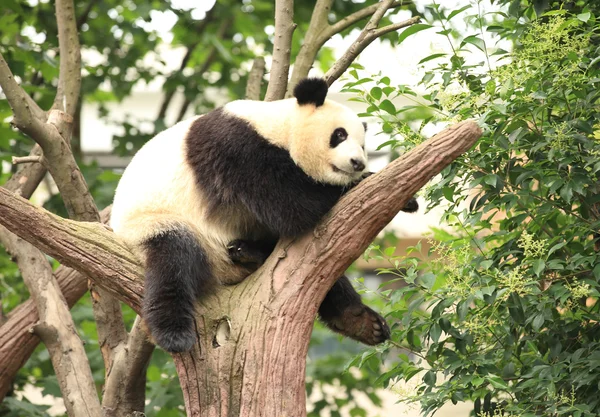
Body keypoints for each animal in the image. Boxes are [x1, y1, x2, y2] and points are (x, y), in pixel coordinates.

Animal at [111, 77, 418, 352]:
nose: (357, 163)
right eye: (340, 135)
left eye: (363, 145)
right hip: (155, 222)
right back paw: (173, 334)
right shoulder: (237, 148)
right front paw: (366, 181)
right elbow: (293, 206)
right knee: (173, 261)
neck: (277, 126)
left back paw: (361, 322)